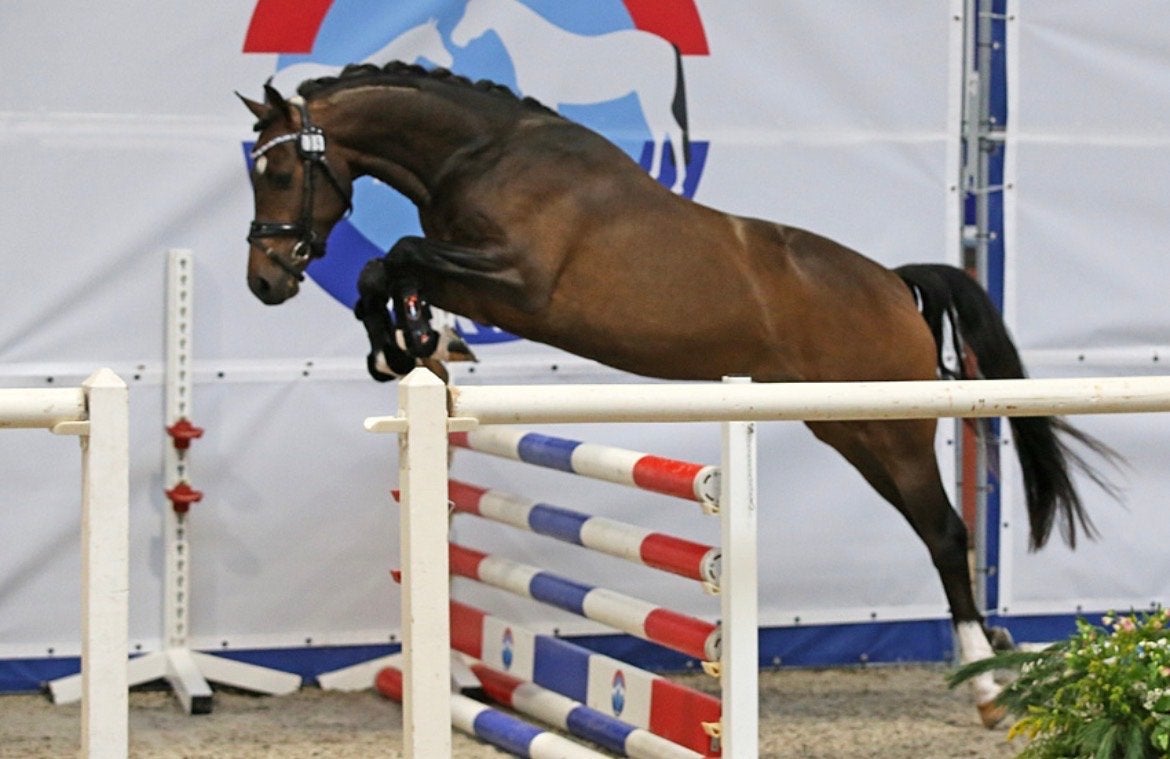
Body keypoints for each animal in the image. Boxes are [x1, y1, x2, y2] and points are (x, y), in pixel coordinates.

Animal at [239, 62, 1117, 728]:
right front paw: (412, 345)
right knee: (937, 531)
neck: (481, 154)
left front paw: (405, 342)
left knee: (944, 534)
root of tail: (895, 286)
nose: (266, 281)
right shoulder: (482, 280)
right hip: (847, 427)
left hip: (890, 434)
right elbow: (386, 270)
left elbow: (394, 256)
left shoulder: (519, 283)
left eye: (280, 172)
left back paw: (988, 686)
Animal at [450, 0, 690, 194]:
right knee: (660, 130)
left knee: (672, 130)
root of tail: (669, 46)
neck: (535, 46)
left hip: (654, 98)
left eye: (475, 14)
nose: (456, 38)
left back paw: (677, 184)